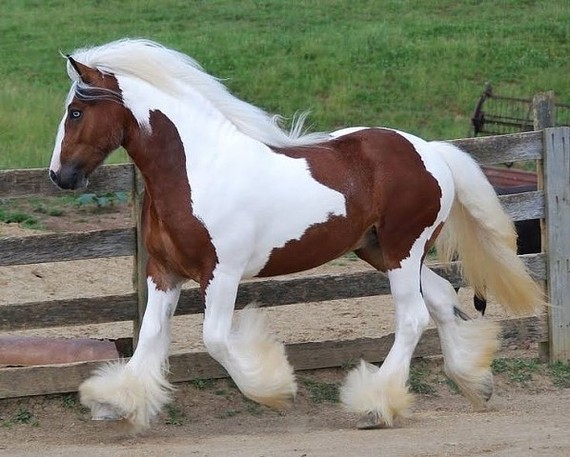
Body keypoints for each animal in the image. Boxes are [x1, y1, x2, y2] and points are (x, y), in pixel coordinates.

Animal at [48, 38, 540, 432]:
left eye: (75, 112)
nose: (59, 176)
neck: (196, 170)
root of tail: (431, 151)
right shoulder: (164, 271)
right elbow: (150, 334)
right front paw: (114, 403)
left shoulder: (221, 275)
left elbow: (215, 339)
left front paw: (274, 388)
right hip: (382, 251)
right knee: (439, 298)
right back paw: (475, 383)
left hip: (403, 249)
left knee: (413, 318)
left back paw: (374, 406)